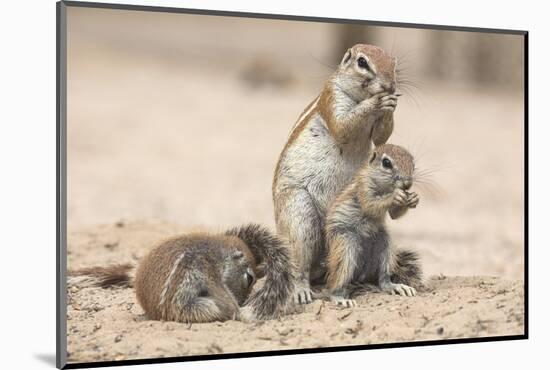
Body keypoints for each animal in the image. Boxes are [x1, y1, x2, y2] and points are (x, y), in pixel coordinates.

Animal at [70, 224, 298, 322]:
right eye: (249, 278)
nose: (243, 301)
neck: (218, 250)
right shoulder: (207, 270)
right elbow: (222, 294)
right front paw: (236, 310)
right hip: (193, 308)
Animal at [274, 44, 404, 304]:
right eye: (362, 62)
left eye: (394, 64)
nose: (390, 86)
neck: (360, 95)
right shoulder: (332, 98)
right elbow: (344, 125)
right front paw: (377, 100)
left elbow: (381, 137)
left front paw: (390, 105)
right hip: (299, 214)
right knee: (299, 264)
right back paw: (301, 290)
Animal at [326, 144, 424, 306]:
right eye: (386, 163)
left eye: (413, 163)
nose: (408, 184)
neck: (384, 187)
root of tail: (361, 275)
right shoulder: (363, 188)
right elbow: (371, 205)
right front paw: (394, 196)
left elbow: (394, 215)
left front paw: (414, 198)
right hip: (345, 247)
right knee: (336, 280)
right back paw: (339, 298)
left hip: (385, 245)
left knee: (383, 279)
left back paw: (395, 286)